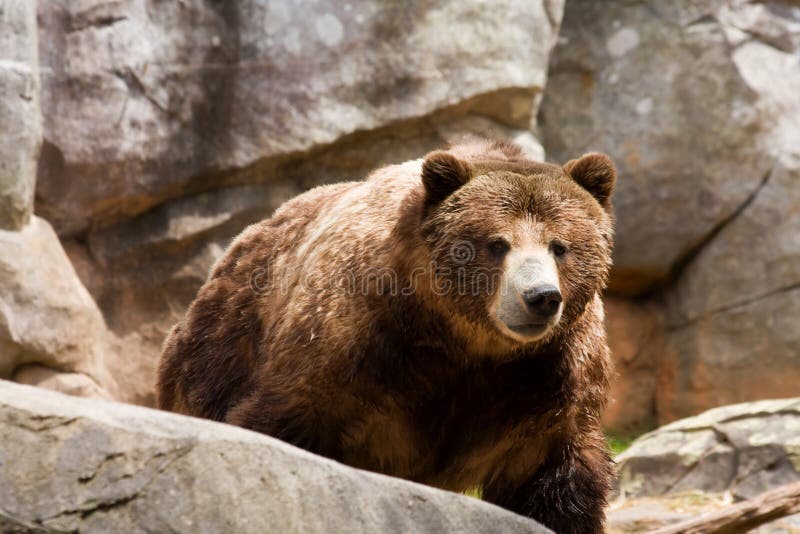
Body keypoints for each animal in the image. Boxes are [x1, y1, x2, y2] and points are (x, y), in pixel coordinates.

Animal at [158, 140, 620, 532]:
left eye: (560, 246)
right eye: (497, 243)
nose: (540, 297)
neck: (465, 342)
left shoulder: (549, 374)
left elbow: (555, 477)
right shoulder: (356, 341)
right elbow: (286, 419)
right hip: (220, 350)